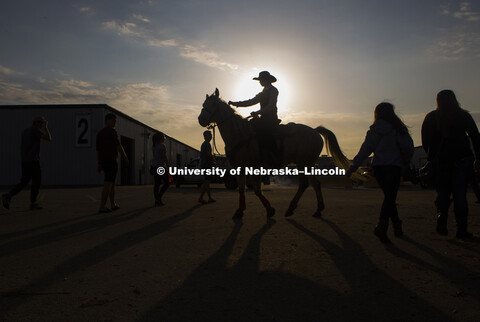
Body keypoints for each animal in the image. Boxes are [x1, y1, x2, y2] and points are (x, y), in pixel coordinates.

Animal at [199, 88, 348, 219]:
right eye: (203, 104)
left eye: (213, 104)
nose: (200, 119)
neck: (240, 135)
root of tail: (315, 131)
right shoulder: (239, 169)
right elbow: (241, 190)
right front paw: (240, 211)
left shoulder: (254, 168)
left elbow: (257, 190)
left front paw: (270, 209)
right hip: (306, 165)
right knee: (313, 184)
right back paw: (313, 209)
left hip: (305, 164)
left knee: (307, 184)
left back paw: (297, 208)